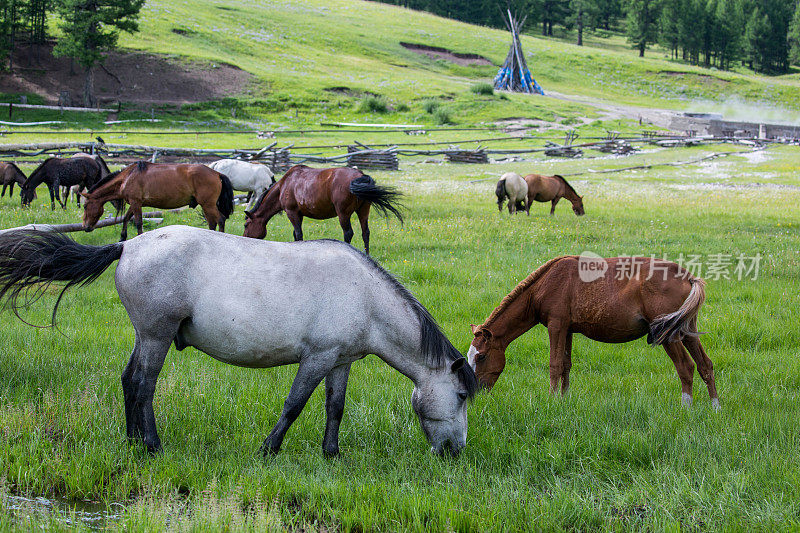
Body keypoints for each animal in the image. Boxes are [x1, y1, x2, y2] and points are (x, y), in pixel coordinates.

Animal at [83, 160, 234, 239]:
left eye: (85, 206)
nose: (85, 227)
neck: (127, 177)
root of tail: (217, 173)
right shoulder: (134, 203)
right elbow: (125, 219)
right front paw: (122, 238)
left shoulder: (136, 203)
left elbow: (138, 222)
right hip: (206, 205)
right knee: (212, 223)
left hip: (208, 205)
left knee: (220, 220)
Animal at [466, 256, 720, 410]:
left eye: (481, 356)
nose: (475, 392)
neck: (545, 283)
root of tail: (687, 276)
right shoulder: (567, 329)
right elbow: (566, 365)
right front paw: (564, 398)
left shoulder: (556, 326)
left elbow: (554, 365)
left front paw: (552, 400)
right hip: (688, 331)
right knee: (705, 365)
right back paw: (715, 407)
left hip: (669, 335)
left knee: (685, 367)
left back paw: (686, 407)